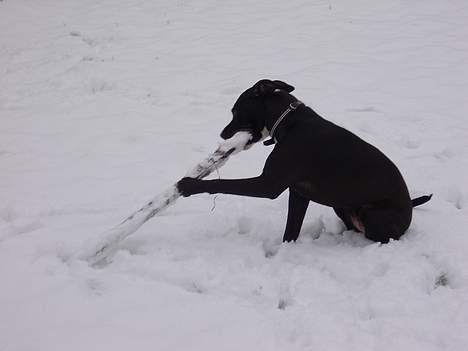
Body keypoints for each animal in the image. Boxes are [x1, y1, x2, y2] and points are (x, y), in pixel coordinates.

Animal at [178, 81, 432, 243]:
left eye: (235, 111)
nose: (223, 134)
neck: (289, 122)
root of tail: (410, 207)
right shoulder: (298, 193)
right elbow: (291, 231)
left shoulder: (268, 185)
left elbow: (221, 184)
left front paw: (188, 185)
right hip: (342, 205)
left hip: (372, 214)